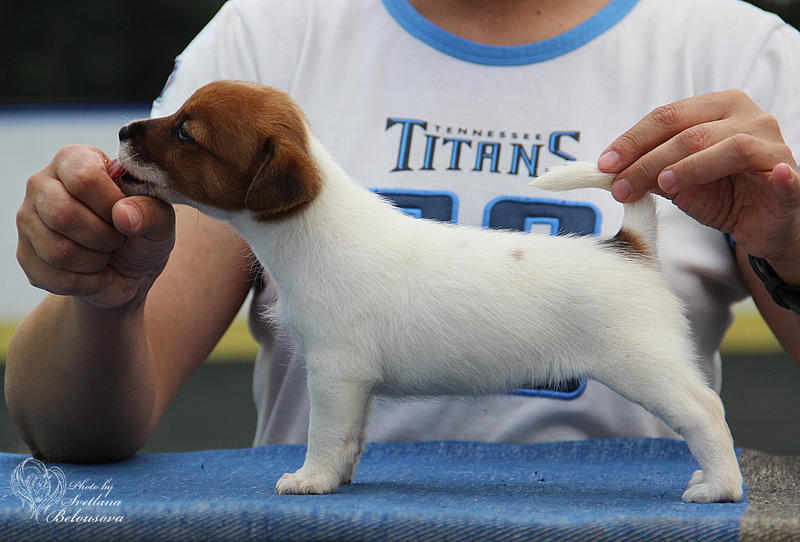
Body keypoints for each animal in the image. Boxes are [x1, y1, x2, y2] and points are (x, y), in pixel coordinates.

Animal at [111, 78, 744, 504]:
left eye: (186, 131)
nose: (121, 130)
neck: (312, 228)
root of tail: (629, 245)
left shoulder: (335, 372)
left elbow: (324, 432)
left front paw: (311, 480)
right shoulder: (356, 383)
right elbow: (351, 436)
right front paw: (339, 477)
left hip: (644, 366)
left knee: (705, 412)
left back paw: (718, 486)